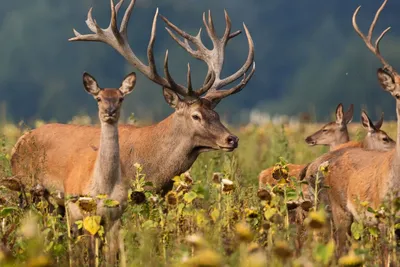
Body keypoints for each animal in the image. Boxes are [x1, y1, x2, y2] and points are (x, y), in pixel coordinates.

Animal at [7, 0, 255, 206]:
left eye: (217, 115)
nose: (232, 139)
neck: (154, 167)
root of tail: (18, 143)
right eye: (196, 115)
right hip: (26, 187)